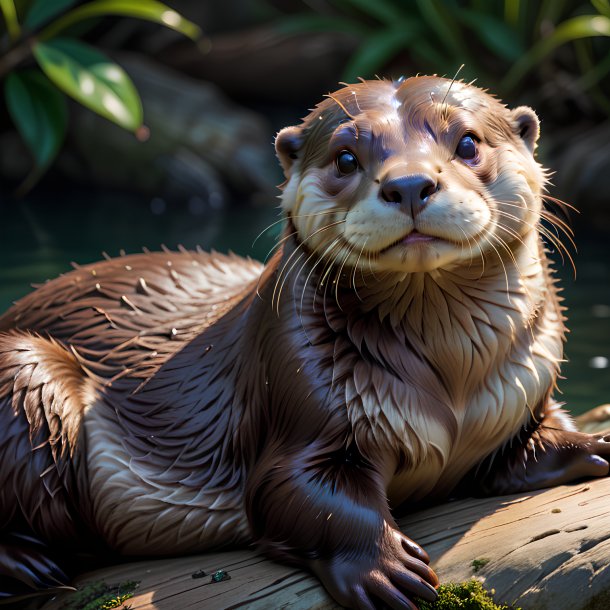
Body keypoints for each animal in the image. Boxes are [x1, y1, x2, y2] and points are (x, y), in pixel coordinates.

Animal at [1, 77, 608, 608]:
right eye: (346, 158)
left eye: (467, 142)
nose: (409, 184)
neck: (454, 385)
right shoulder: (301, 386)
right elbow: (296, 494)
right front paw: (384, 566)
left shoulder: (522, 390)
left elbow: (532, 442)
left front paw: (594, 442)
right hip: (24, 377)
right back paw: (27, 563)